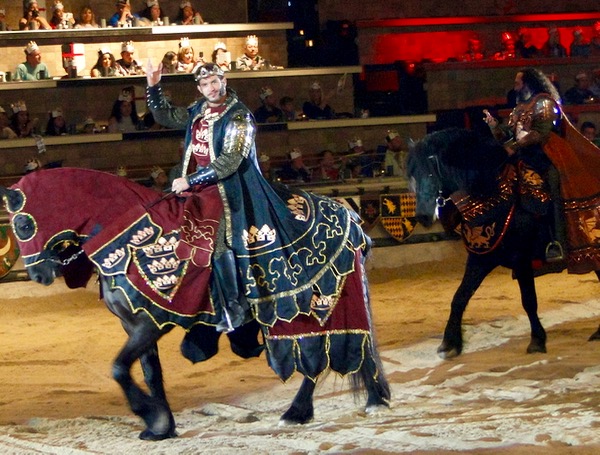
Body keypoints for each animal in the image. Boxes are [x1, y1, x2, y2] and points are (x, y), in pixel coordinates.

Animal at [0, 168, 390, 442]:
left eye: (23, 224)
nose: (39, 275)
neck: (130, 235)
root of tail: (350, 217)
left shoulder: (150, 324)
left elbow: (118, 368)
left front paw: (151, 416)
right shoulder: (135, 324)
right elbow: (150, 373)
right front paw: (162, 426)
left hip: (318, 308)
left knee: (326, 355)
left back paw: (307, 410)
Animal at [408, 128, 600, 360]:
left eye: (430, 173)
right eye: (412, 176)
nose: (423, 216)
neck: (493, 195)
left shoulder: (522, 259)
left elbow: (529, 300)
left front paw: (537, 340)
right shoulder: (481, 259)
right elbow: (459, 297)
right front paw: (450, 343)